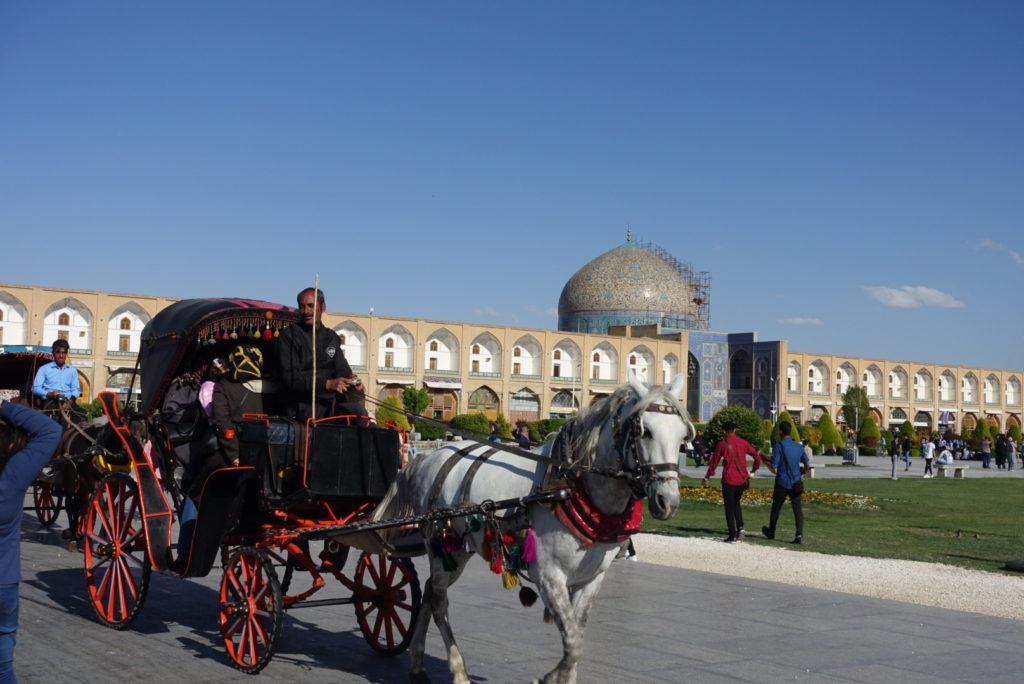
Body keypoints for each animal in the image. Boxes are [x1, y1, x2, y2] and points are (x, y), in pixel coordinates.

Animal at [368, 374, 688, 684]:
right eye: (644, 431)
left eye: (683, 437)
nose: (668, 501)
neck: (572, 483)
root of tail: (428, 457)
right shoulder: (548, 574)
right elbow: (574, 643)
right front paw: (546, 678)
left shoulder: (592, 578)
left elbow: (577, 637)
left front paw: (561, 677)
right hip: (438, 543)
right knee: (439, 603)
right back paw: (458, 671)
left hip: (455, 551)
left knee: (429, 594)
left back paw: (417, 665)